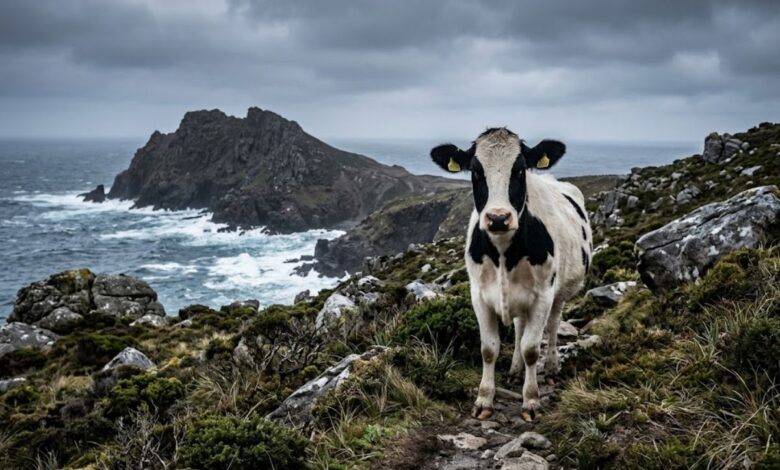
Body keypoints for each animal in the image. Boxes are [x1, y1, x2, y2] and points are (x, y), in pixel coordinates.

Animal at [430, 128, 592, 422]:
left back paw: (552, 368)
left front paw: (531, 401)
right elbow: (489, 348)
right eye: (476, 171)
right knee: (518, 328)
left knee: (552, 326)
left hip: (559, 293)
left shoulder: (543, 295)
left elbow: (531, 349)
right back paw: (515, 371)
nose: (497, 218)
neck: (504, 253)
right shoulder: (479, 295)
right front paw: (484, 400)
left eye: (519, 170)